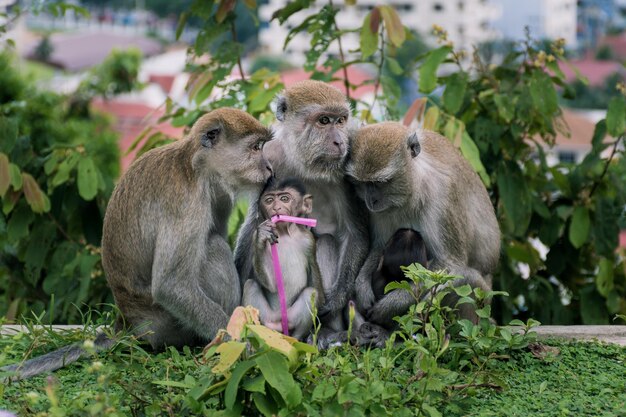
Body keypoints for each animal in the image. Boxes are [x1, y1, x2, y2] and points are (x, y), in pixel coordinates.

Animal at [1, 108, 272, 380]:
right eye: (255, 148)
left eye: (262, 147)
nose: (269, 167)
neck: (196, 167)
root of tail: (127, 322)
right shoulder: (186, 202)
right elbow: (170, 285)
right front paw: (240, 343)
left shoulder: (220, 196)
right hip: (166, 325)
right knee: (212, 248)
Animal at [241, 177, 324, 340]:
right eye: (269, 200)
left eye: (284, 199)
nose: (276, 208)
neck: (284, 233)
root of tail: (278, 324)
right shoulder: (254, 234)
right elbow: (272, 285)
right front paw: (262, 236)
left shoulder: (309, 241)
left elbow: (317, 288)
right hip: (267, 317)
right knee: (250, 285)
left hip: (291, 318)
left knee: (310, 292)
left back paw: (296, 340)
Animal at [348, 122, 500, 326]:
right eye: (363, 183)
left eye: (380, 182)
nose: (370, 201)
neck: (413, 189)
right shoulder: (379, 212)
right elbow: (379, 246)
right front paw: (362, 286)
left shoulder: (443, 197)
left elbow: (450, 265)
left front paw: (391, 305)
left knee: (467, 280)